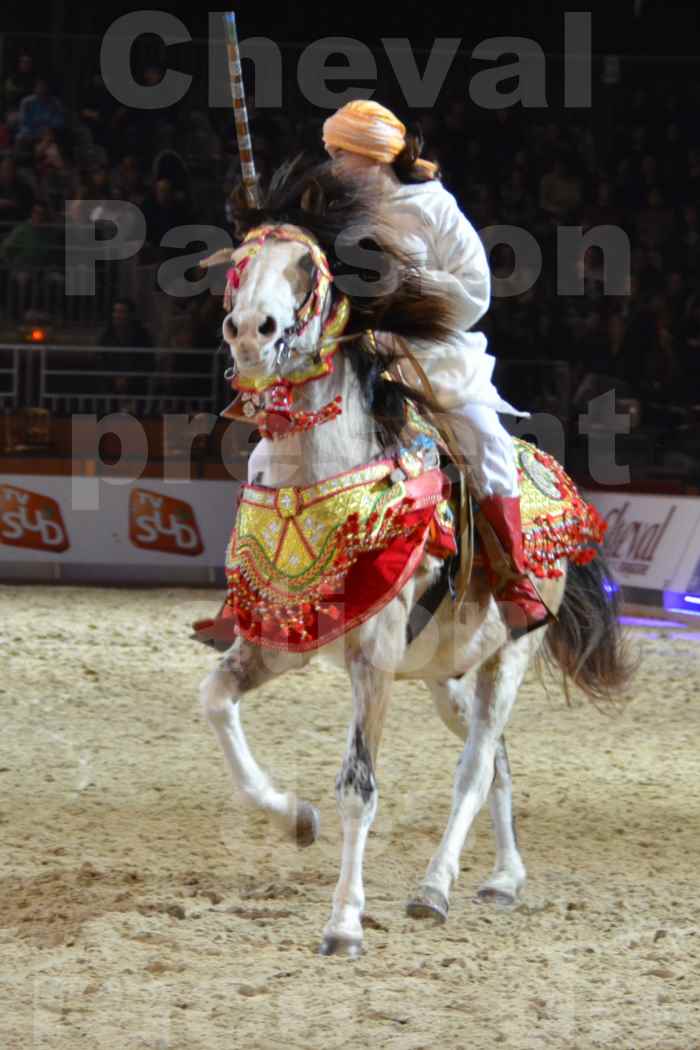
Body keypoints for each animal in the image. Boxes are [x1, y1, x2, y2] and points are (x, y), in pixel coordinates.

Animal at [197, 161, 629, 953]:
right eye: (240, 262)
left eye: (307, 266)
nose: (250, 332)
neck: (322, 475)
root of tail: (550, 475)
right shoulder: (280, 642)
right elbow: (216, 703)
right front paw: (293, 818)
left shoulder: (372, 658)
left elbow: (358, 788)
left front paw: (343, 920)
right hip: (443, 676)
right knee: (499, 766)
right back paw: (502, 877)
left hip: (508, 657)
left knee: (475, 767)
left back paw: (435, 888)